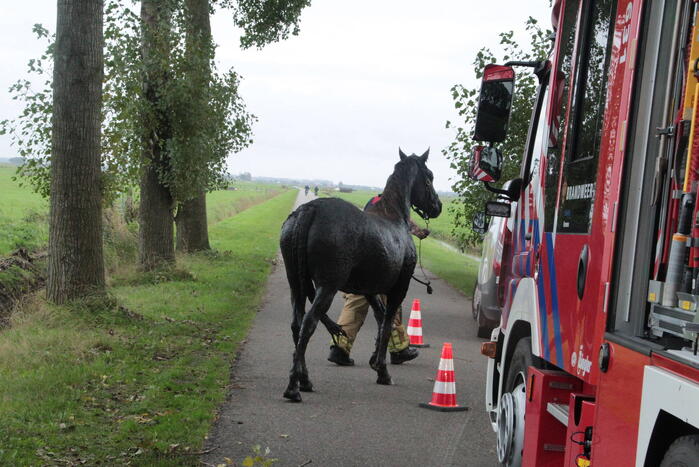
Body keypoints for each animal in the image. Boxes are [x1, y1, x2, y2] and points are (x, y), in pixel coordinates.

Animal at [279, 148, 442, 402]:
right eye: (430, 176)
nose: (437, 206)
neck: (393, 217)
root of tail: (309, 209)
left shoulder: (369, 291)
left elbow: (380, 319)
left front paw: (377, 361)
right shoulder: (398, 289)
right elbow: (388, 322)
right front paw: (383, 371)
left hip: (296, 284)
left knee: (297, 325)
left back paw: (304, 380)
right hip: (327, 287)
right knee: (308, 324)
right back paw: (294, 388)